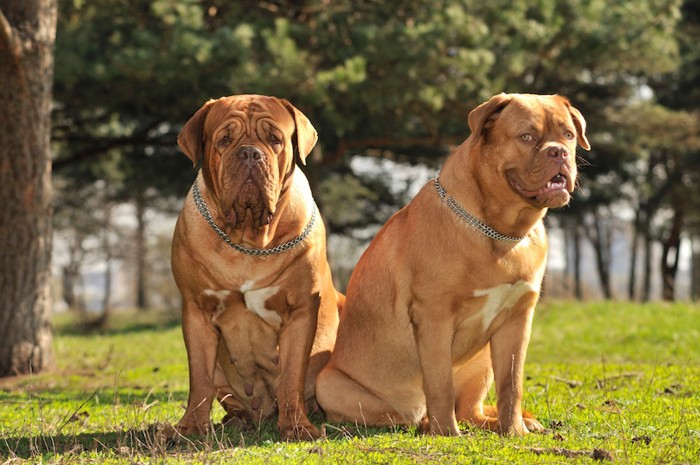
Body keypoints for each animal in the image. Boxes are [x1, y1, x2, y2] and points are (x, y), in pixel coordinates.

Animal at [172, 94, 342, 438]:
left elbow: (291, 376)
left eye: (275, 139)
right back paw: (237, 419)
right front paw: (191, 426)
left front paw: (297, 426)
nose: (250, 153)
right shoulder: (196, 311)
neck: (247, 241)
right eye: (224, 140)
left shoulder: (300, 311)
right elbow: (199, 379)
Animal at [318, 93, 592, 436]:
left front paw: (514, 431)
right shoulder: (434, 316)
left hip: (483, 358)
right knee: (408, 413)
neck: (501, 231)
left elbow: (512, 384)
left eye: (568, 134)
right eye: (526, 136)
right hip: (329, 385)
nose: (558, 152)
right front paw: (446, 433)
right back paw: (425, 423)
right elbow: (440, 383)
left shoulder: (517, 320)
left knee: (470, 410)